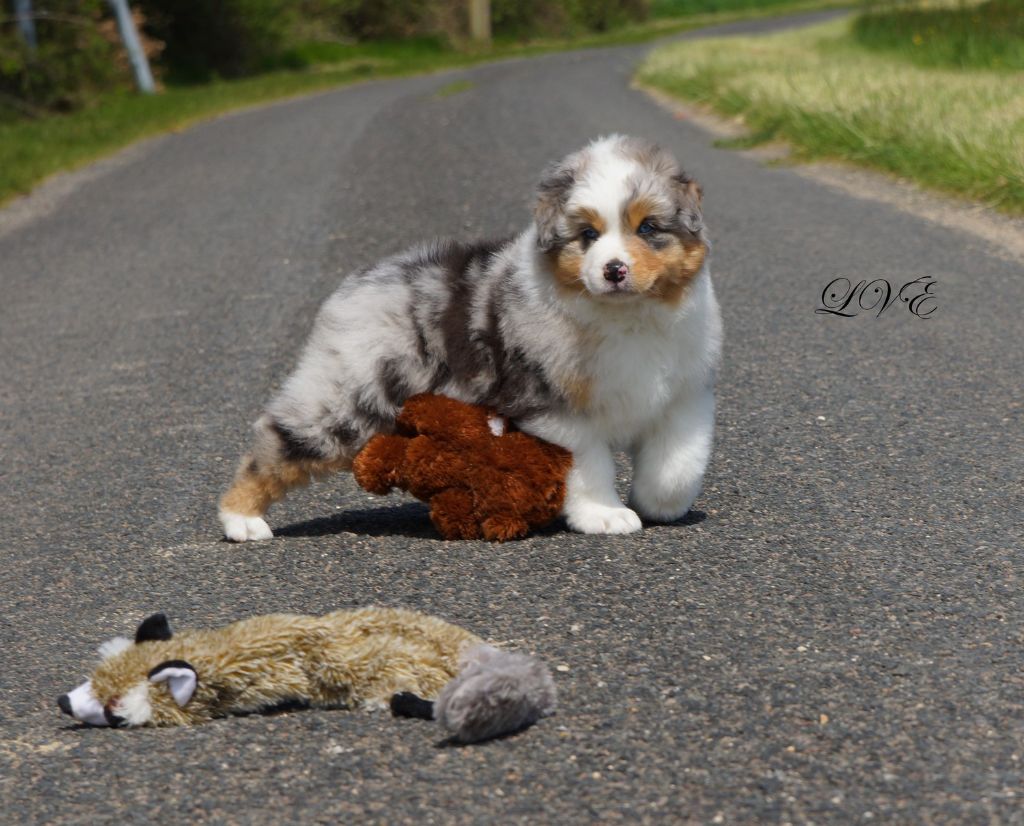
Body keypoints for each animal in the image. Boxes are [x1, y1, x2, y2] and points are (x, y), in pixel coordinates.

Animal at [219, 135, 721, 540]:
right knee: (278, 440)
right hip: (350, 397)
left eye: (648, 228)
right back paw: (241, 519)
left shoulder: (683, 395)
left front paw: (660, 504)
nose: (614, 270)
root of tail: (359, 282)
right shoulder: (553, 406)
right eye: (587, 234)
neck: (626, 318)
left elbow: (678, 462)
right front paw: (605, 515)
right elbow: (589, 464)